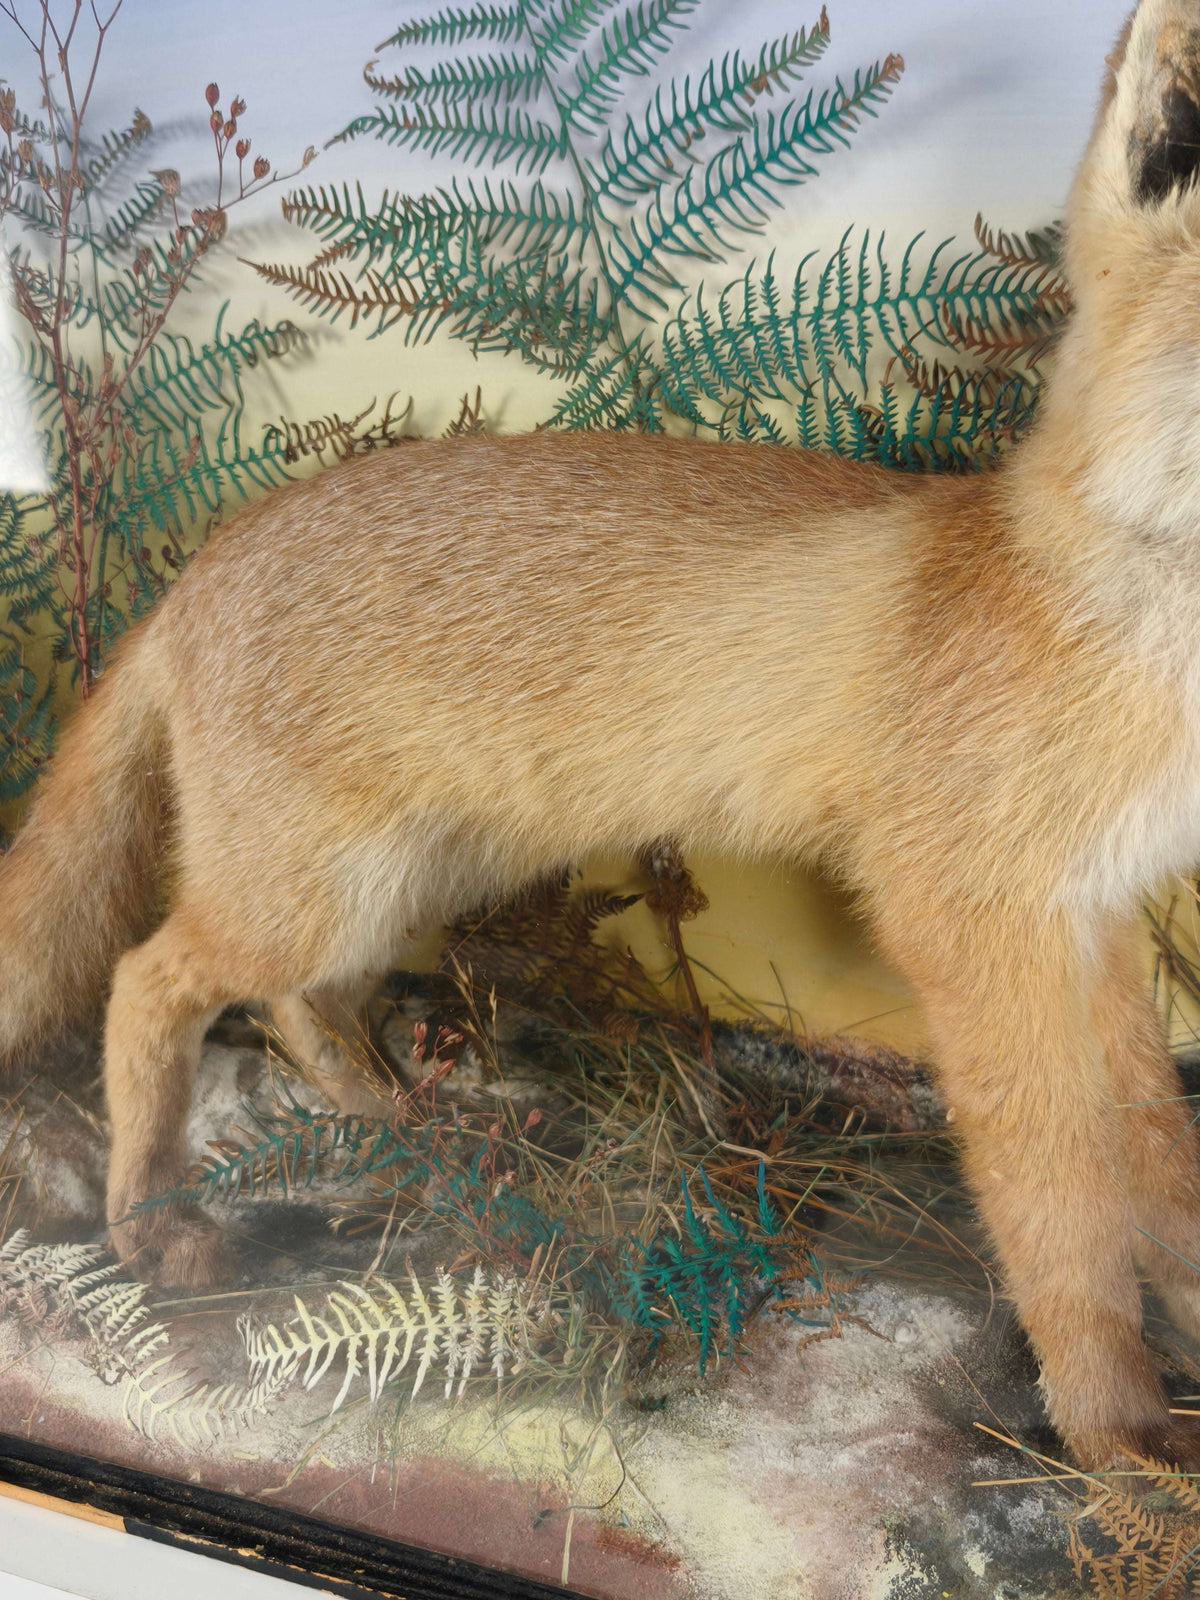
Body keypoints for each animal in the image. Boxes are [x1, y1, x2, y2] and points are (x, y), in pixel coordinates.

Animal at [7, 0, 1200, 1471]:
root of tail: (206, 558)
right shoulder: (972, 921)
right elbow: (1061, 1217)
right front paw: (1119, 1444)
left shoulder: (1101, 919)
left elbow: (1159, 1166)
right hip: (314, 890)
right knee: (147, 976)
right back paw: (152, 1216)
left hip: (410, 880)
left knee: (300, 1006)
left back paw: (396, 1118)